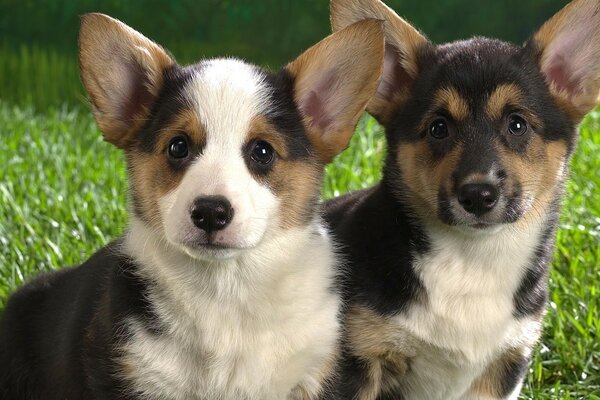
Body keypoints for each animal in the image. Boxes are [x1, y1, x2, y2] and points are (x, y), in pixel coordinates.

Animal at [326, 0, 600, 400]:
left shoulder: (506, 362)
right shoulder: (358, 358)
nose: (477, 195)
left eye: (517, 124)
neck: (473, 259)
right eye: (439, 128)